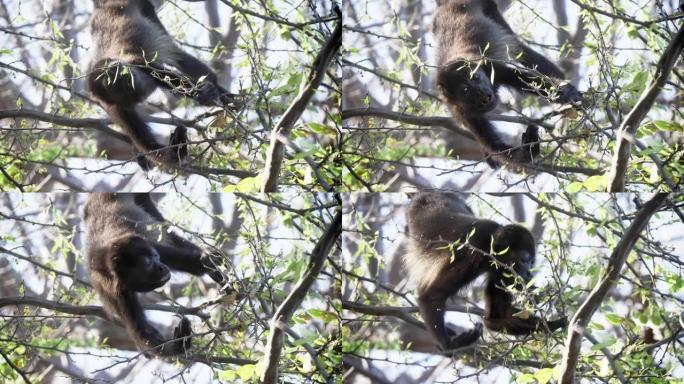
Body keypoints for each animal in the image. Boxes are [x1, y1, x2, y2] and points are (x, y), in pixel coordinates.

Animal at [84, 194, 228, 356]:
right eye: (147, 263)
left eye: (155, 256)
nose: (161, 267)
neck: (107, 262)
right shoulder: (111, 290)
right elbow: (143, 332)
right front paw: (178, 344)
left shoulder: (149, 244)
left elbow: (192, 263)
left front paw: (211, 263)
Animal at [87, 0, 236, 168]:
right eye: (118, 86)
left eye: (118, 73)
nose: (124, 77)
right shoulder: (117, 110)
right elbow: (151, 147)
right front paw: (176, 148)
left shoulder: (136, 62)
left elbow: (170, 78)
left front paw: (205, 94)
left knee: (178, 56)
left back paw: (223, 93)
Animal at [404, 194, 564, 352]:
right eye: (525, 260)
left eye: (532, 263)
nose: (529, 274)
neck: (490, 245)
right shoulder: (474, 250)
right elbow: (432, 294)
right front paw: (449, 345)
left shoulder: (498, 271)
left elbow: (495, 318)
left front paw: (554, 324)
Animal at [432, 1, 584, 166]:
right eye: (465, 90)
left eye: (476, 77)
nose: (482, 92)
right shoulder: (462, 112)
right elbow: (498, 147)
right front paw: (528, 149)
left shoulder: (491, 68)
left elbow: (523, 78)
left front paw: (567, 93)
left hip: (488, 7)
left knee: (521, 49)